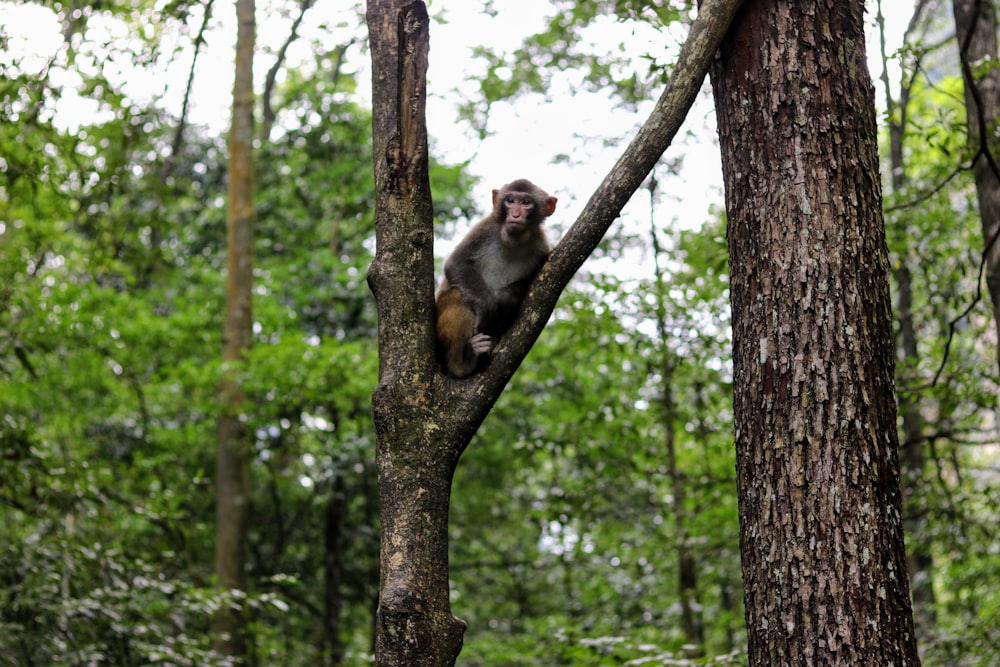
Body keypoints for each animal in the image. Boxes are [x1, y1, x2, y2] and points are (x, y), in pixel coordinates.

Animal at [434, 177, 560, 378]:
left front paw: (506, 297)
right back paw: (462, 364)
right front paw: (488, 307)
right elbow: (456, 263)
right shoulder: (486, 227)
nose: (515, 215)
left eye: (526, 202)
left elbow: (535, 280)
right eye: (510, 200)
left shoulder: (542, 248)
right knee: (458, 295)